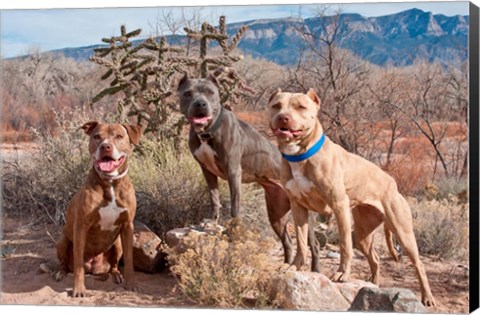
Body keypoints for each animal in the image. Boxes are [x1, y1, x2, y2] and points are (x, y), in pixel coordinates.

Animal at [55, 121, 141, 298]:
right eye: (96, 136)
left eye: (119, 136)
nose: (105, 146)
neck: (110, 183)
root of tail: (93, 268)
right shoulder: (81, 226)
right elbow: (78, 265)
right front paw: (79, 290)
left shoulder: (128, 226)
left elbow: (129, 260)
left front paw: (131, 284)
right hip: (62, 241)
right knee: (66, 264)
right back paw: (61, 272)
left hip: (117, 244)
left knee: (114, 265)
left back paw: (116, 275)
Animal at [176, 73, 318, 270]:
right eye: (188, 93)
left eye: (210, 92)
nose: (201, 104)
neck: (208, 131)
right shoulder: (207, 171)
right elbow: (214, 197)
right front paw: (212, 220)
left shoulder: (233, 171)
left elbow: (235, 205)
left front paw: (232, 229)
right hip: (276, 214)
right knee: (288, 242)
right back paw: (284, 267)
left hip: (304, 217)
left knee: (314, 245)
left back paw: (315, 270)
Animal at [268, 87, 436, 308]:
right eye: (276, 106)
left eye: (301, 107)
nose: (283, 118)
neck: (300, 155)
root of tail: (392, 182)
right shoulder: (298, 208)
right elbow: (302, 242)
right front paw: (293, 267)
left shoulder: (339, 206)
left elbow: (344, 245)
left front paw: (342, 274)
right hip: (364, 234)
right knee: (375, 258)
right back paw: (374, 286)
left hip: (403, 232)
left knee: (419, 265)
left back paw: (427, 298)